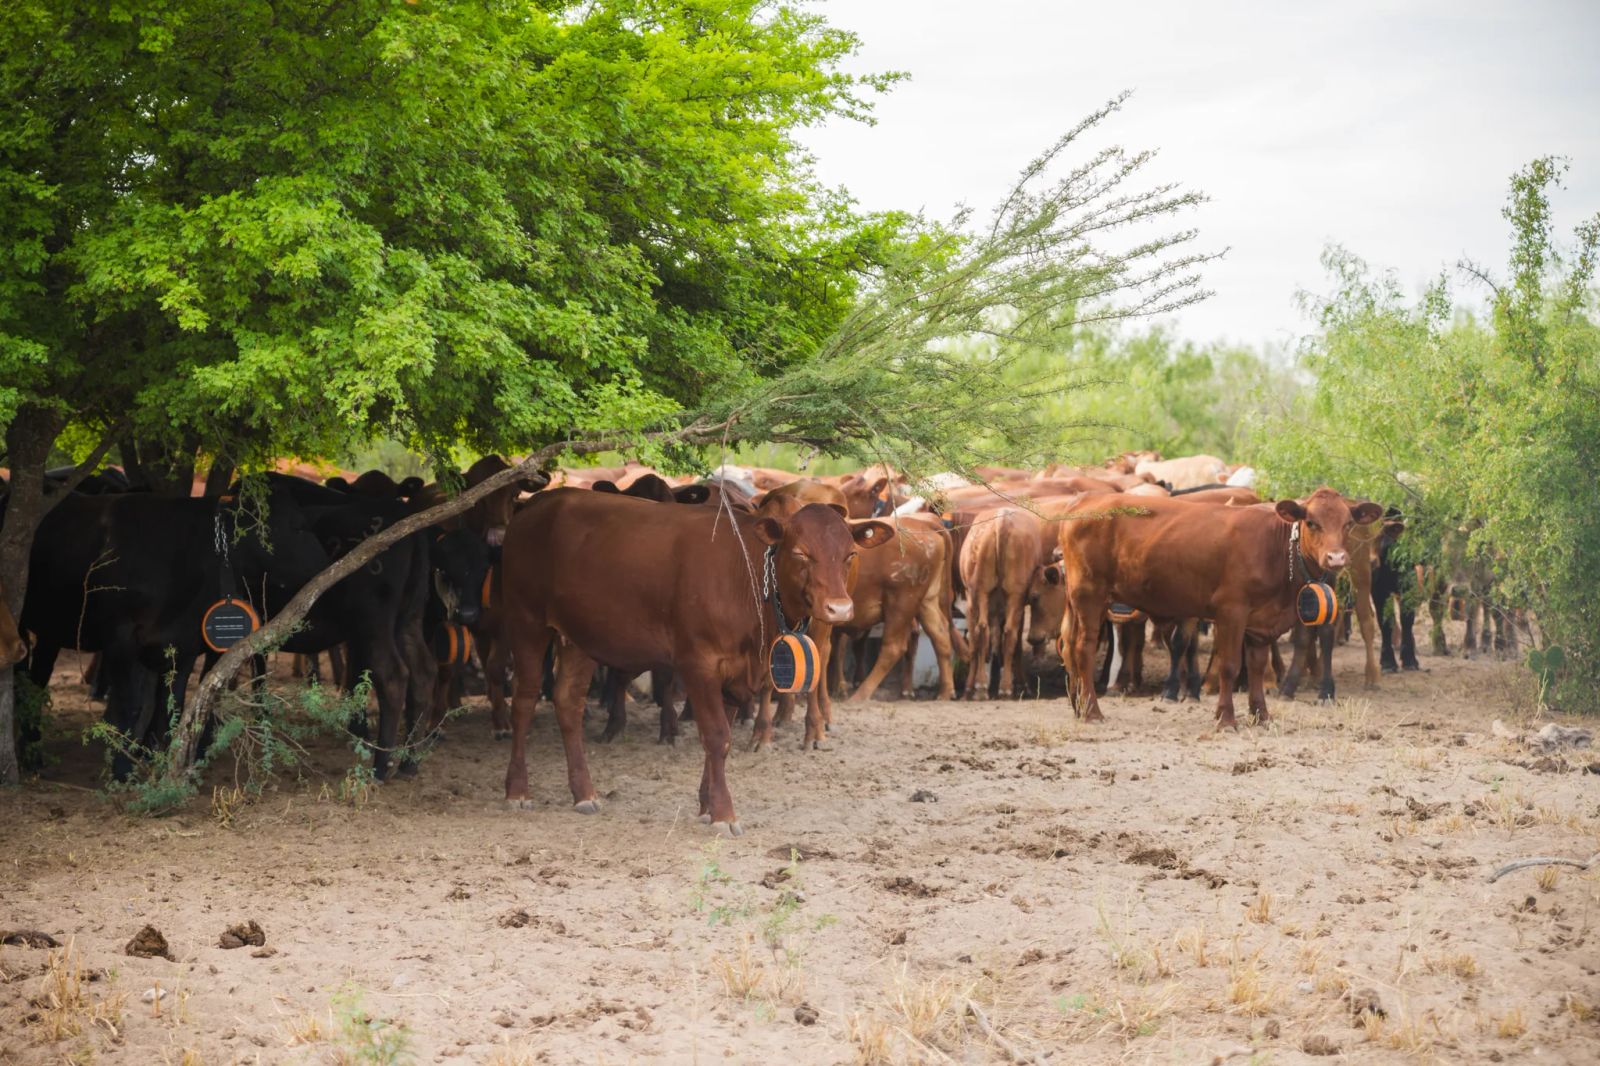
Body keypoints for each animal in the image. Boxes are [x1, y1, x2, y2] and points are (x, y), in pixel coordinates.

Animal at [500, 488, 893, 834]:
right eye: (800, 554)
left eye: (850, 555)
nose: (839, 608)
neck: (747, 578)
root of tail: (541, 502)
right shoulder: (698, 663)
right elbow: (717, 735)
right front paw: (723, 813)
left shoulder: (736, 673)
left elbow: (721, 737)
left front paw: (706, 804)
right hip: (525, 620)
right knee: (524, 699)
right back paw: (517, 790)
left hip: (579, 636)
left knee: (568, 701)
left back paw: (583, 793)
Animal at [1056, 489, 1383, 727]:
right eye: (1312, 522)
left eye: (1348, 524)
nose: (1336, 558)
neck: (1275, 548)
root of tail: (1085, 499)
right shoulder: (1232, 612)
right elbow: (1230, 666)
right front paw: (1226, 718)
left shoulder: (1260, 624)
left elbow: (1256, 667)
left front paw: (1261, 716)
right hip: (1090, 596)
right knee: (1083, 648)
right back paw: (1092, 711)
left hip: (1075, 600)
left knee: (1067, 644)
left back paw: (1077, 707)